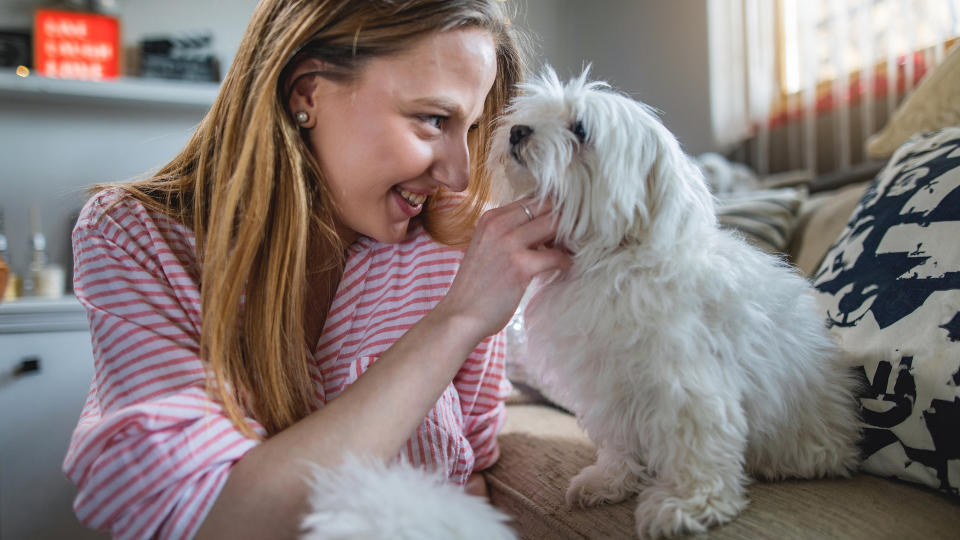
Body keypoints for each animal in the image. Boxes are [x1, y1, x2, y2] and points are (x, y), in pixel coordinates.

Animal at [488, 69, 864, 536]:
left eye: (581, 130)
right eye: (531, 116)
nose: (517, 131)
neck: (611, 261)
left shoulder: (685, 382)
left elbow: (696, 445)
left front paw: (687, 504)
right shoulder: (611, 384)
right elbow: (620, 439)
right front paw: (610, 480)